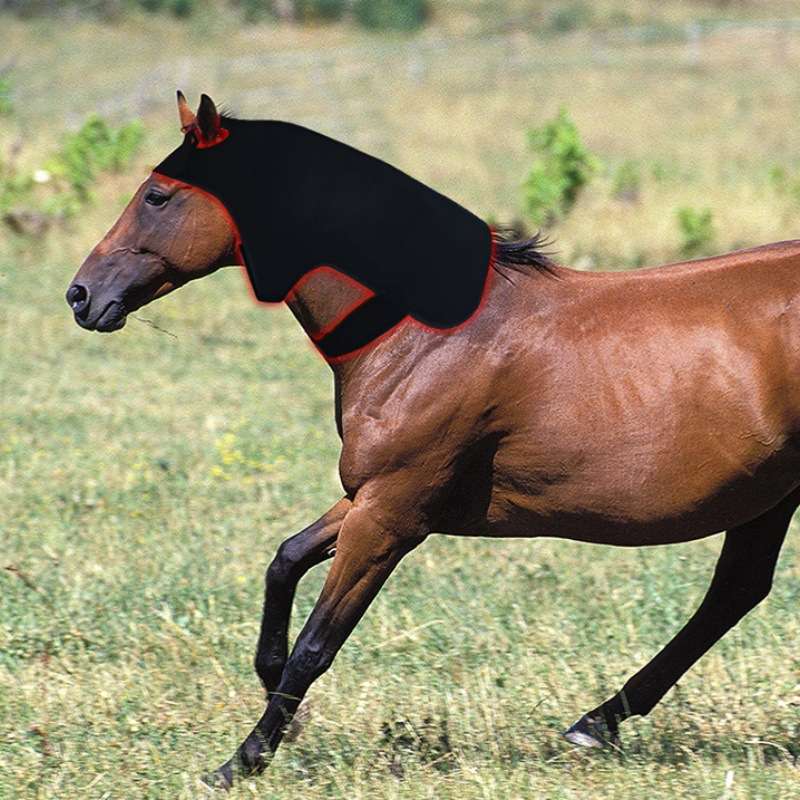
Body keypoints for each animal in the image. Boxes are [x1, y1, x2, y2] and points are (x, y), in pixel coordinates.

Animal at [66, 92, 800, 789]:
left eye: (158, 195)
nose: (80, 295)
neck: (424, 332)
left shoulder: (392, 515)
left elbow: (317, 644)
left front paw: (241, 761)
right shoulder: (372, 497)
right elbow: (285, 560)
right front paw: (275, 695)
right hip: (767, 496)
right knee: (734, 594)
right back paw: (595, 724)